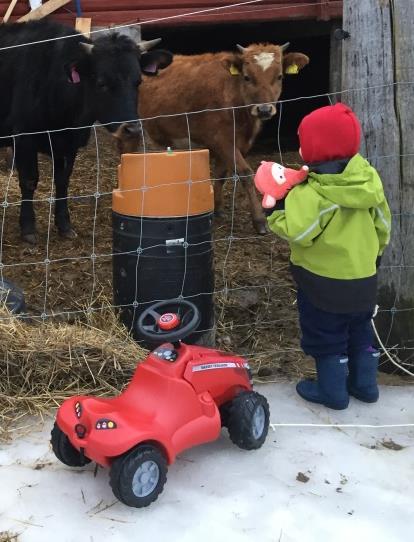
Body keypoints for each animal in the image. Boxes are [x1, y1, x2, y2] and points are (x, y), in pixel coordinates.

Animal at [0, 20, 171, 243]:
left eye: (138, 82)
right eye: (101, 83)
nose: (132, 129)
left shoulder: (69, 144)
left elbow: (62, 181)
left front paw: (64, 225)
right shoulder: (23, 138)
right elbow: (29, 180)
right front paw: (28, 228)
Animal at [116, 43, 308, 235]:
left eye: (279, 76)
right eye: (247, 77)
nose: (264, 110)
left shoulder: (233, 144)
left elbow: (220, 176)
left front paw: (217, 208)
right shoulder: (222, 141)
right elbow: (246, 174)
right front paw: (259, 221)